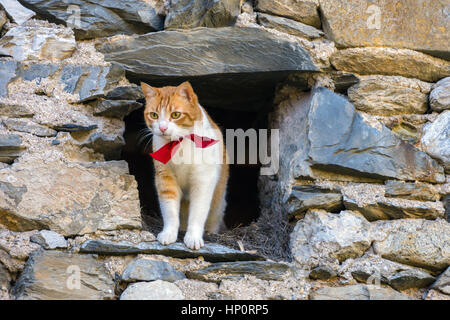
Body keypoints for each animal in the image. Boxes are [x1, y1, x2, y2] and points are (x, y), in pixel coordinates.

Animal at [141, 80, 229, 250]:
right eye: (154, 115)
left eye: (175, 115)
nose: (162, 128)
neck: (179, 144)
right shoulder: (166, 179)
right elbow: (169, 211)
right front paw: (169, 233)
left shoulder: (203, 181)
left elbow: (197, 212)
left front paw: (193, 237)